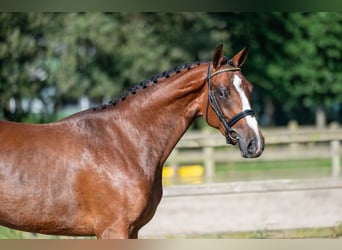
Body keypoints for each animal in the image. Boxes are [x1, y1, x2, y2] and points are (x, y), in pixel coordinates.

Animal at [0, 44, 264, 238]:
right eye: (222, 92)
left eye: (250, 88)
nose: (255, 143)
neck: (123, 142)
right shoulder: (113, 230)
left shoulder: (132, 230)